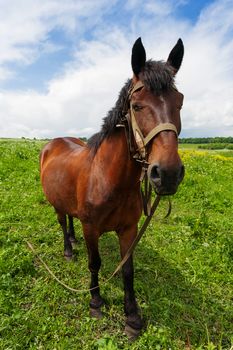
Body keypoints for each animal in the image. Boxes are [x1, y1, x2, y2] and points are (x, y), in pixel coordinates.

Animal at [40, 37, 186, 338]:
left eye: (180, 102)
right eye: (137, 106)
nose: (167, 174)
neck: (108, 179)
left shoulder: (129, 229)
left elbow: (128, 269)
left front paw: (132, 316)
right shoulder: (91, 228)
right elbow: (94, 263)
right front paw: (96, 302)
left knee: (69, 219)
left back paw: (73, 240)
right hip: (56, 204)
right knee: (62, 221)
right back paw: (69, 249)